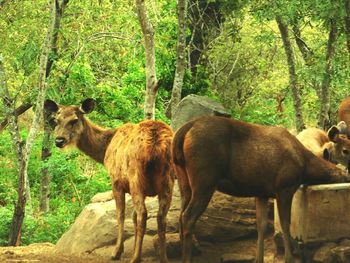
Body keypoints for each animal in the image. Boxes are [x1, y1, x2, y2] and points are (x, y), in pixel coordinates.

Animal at [44, 99, 174, 263]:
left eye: (74, 120)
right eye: (56, 120)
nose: (59, 140)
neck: (105, 149)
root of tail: (156, 143)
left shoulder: (116, 181)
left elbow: (121, 214)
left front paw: (117, 251)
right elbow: (132, 216)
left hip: (136, 178)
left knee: (143, 214)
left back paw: (135, 258)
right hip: (168, 180)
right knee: (161, 216)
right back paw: (163, 257)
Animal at [172, 116, 350, 263]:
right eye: (345, 150)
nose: (347, 174)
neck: (305, 166)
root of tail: (183, 131)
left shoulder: (262, 192)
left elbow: (262, 226)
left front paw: (260, 259)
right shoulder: (285, 186)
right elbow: (285, 224)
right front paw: (289, 258)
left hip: (183, 180)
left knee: (180, 216)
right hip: (205, 180)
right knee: (188, 217)